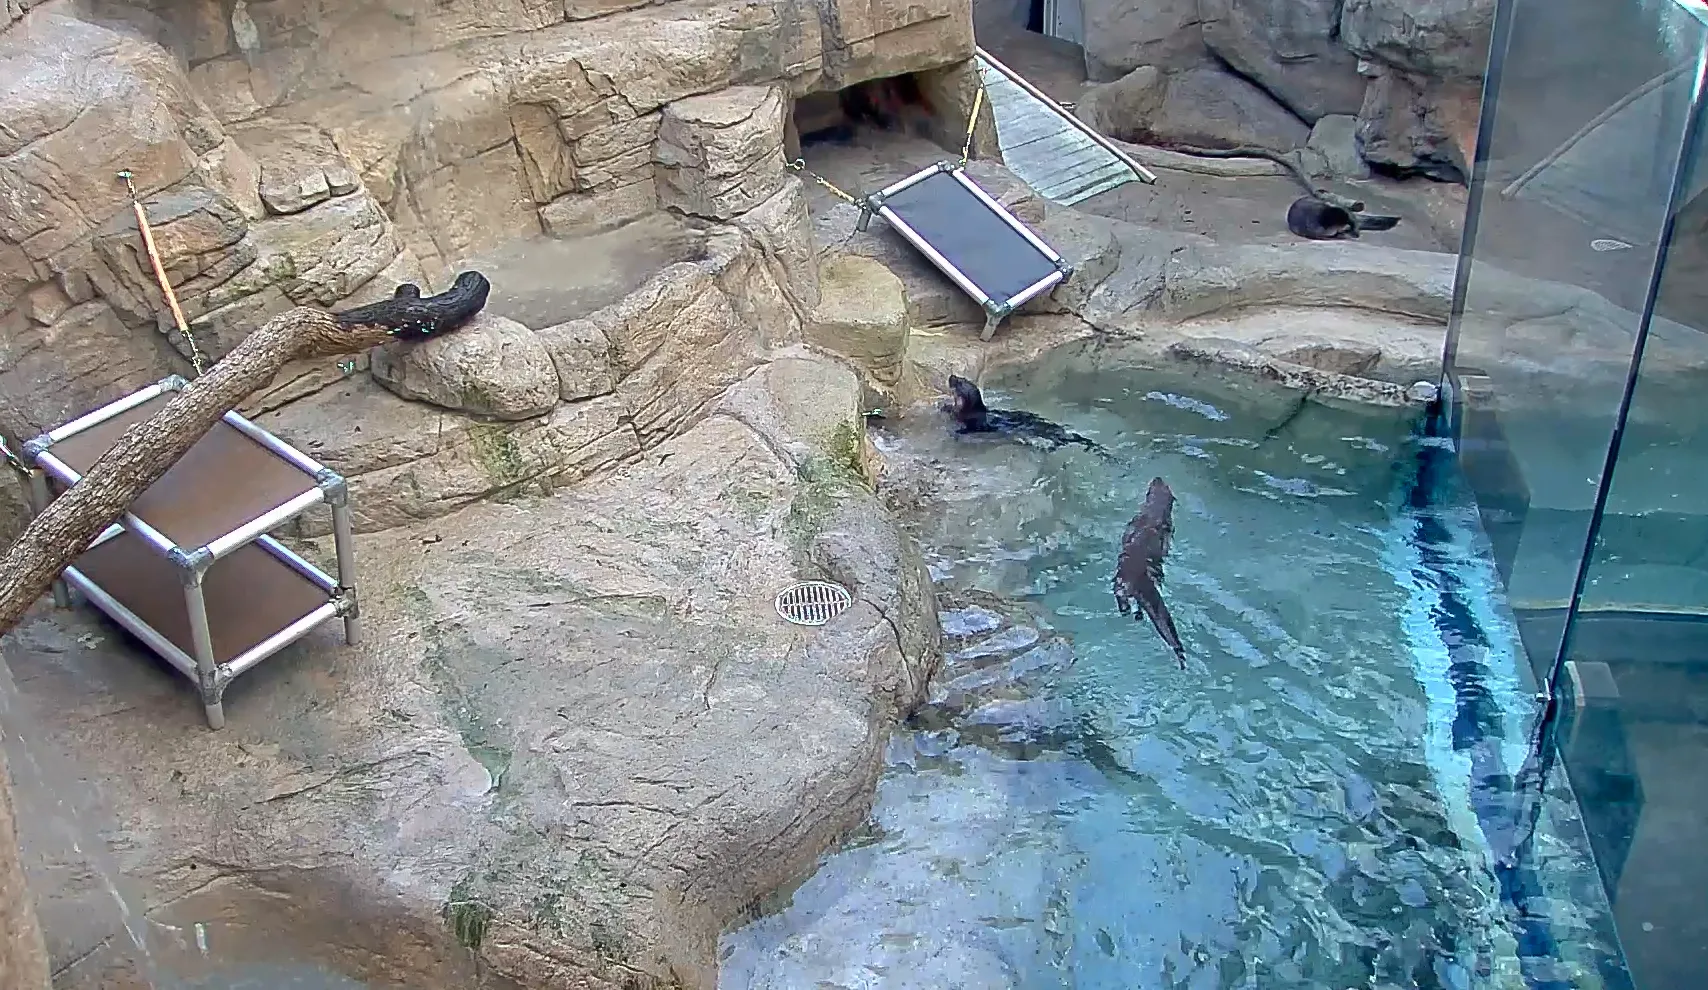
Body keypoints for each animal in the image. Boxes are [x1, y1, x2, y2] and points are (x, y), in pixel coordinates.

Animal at [946, 375, 1107, 455]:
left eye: (959, 382)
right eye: (961, 377)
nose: (952, 375)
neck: (972, 411)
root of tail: (1063, 433)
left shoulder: (975, 423)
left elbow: (969, 429)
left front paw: (958, 431)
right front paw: (945, 407)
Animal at [1113, 477, 1188, 669]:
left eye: (1162, 485)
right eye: (1156, 484)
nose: (1157, 478)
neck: (1153, 515)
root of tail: (1136, 580)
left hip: (1121, 583)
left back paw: (1129, 611)